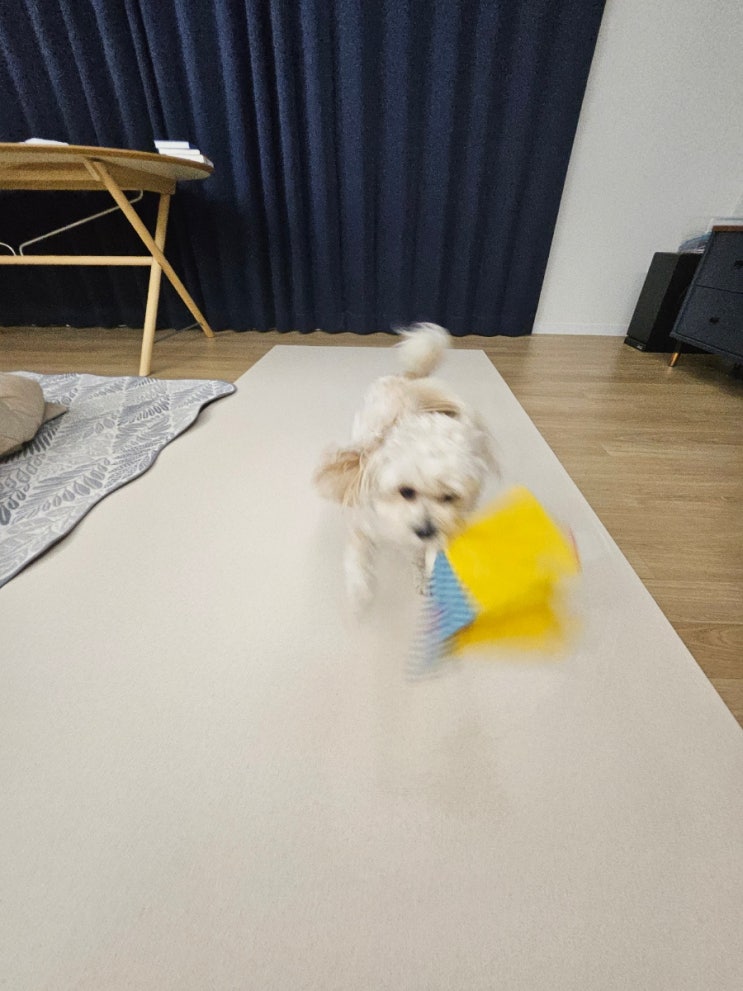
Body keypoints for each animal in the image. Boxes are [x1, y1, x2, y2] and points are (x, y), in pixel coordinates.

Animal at [314, 324, 494, 610]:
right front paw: (360, 592)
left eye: (449, 497)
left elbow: (423, 556)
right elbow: (357, 556)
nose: (425, 530)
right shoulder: (364, 522)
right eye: (406, 491)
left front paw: (424, 576)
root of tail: (408, 379)